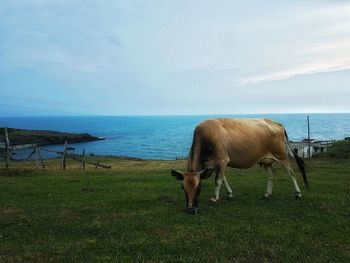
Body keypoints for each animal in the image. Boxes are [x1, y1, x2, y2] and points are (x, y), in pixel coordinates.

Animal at [171, 118, 308, 216]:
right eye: (183, 187)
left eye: (199, 187)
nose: (190, 208)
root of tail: (276, 123)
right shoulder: (214, 163)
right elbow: (223, 178)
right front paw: (229, 194)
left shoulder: (222, 160)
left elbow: (218, 180)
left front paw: (214, 198)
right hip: (266, 160)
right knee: (271, 175)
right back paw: (267, 194)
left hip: (281, 155)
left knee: (291, 172)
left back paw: (298, 193)